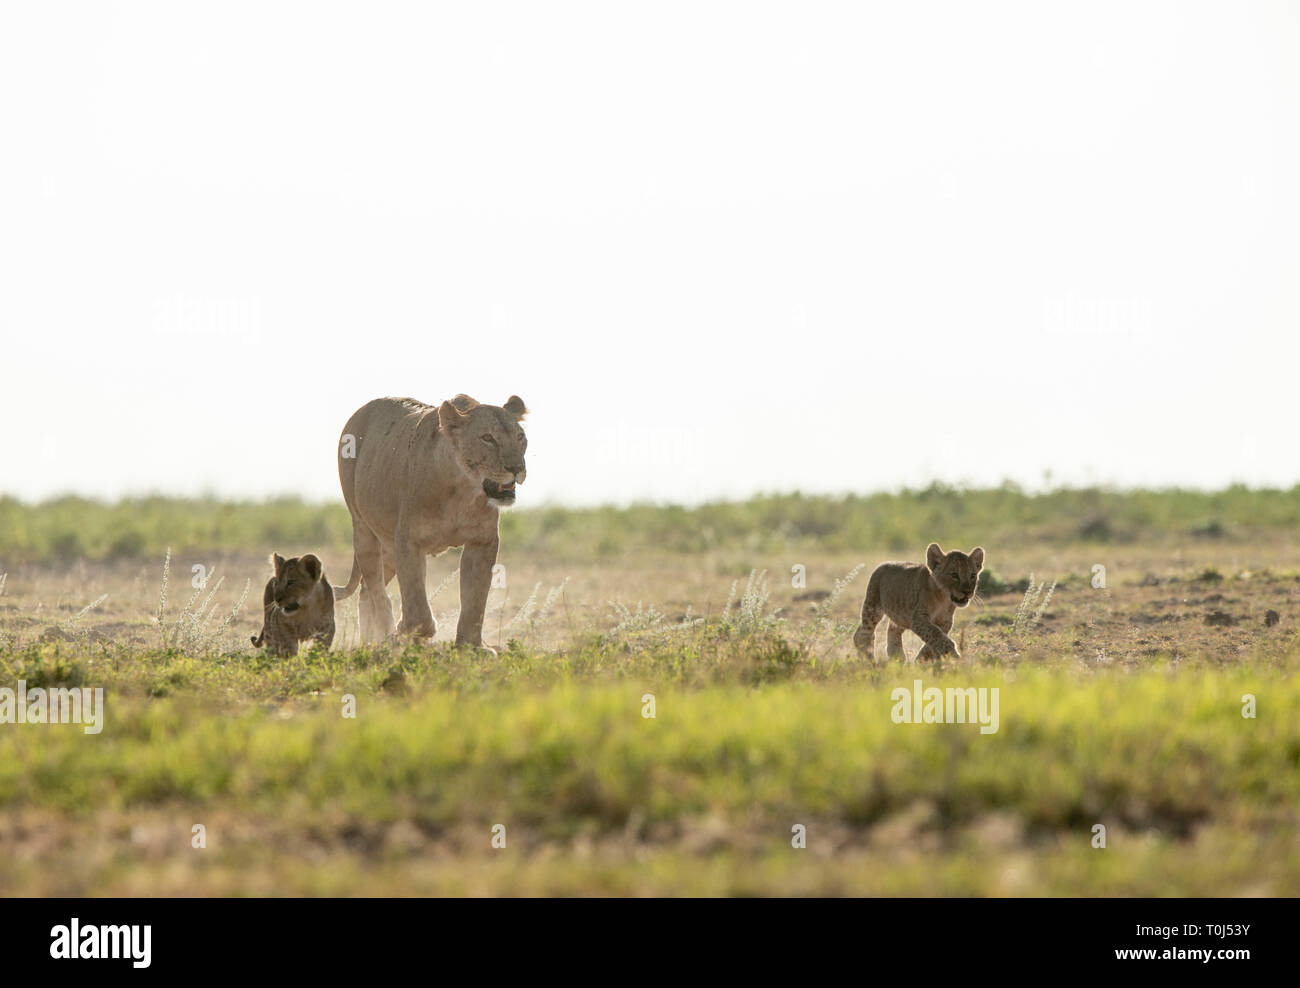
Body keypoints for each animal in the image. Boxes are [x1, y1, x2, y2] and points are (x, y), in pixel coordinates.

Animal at [334, 394, 528, 651]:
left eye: (520, 437)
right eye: (487, 438)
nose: (517, 468)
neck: (462, 489)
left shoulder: (483, 541)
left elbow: (475, 600)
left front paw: (472, 646)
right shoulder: (408, 540)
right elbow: (417, 605)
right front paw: (407, 632)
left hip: (388, 546)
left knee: (366, 591)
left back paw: (371, 644)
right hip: (363, 529)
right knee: (375, 589)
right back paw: (386, 640)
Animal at [852, 543, 984, 661]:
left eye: (973, 575)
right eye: (954, 575)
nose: (967, 591)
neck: (943, 599)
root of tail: (882, 564)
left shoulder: (945, 622)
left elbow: (936, 638)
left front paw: (922, 659)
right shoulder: (918, 618)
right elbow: (935, 633)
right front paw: (953, 654)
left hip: (901, 614)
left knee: (892, 629)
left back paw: (897, 656)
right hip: (873, 607)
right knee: (864, 633)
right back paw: (868, 657)